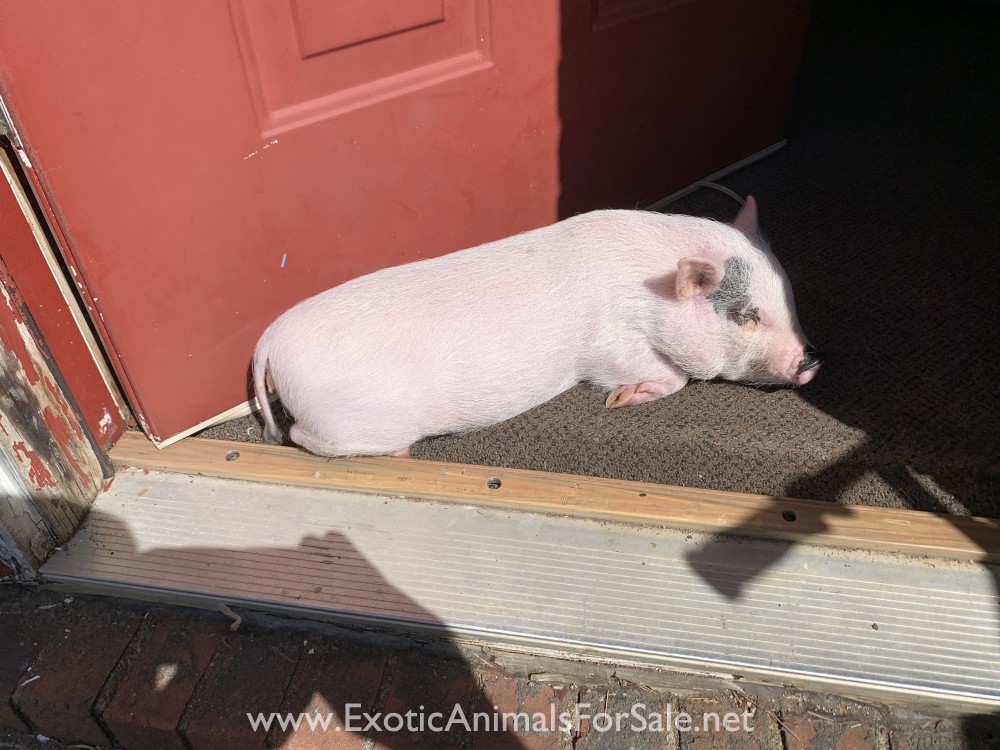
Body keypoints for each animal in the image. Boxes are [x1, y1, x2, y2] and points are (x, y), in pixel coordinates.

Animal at [252, 196, 819, 458]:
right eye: (747, 315)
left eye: (789, 296)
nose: (810, 360)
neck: (652, 291)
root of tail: (270, 342)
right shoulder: (607, 347)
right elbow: (670, 377)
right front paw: (620, 401)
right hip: (341, 419)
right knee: (298, 435)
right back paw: (401, 453)